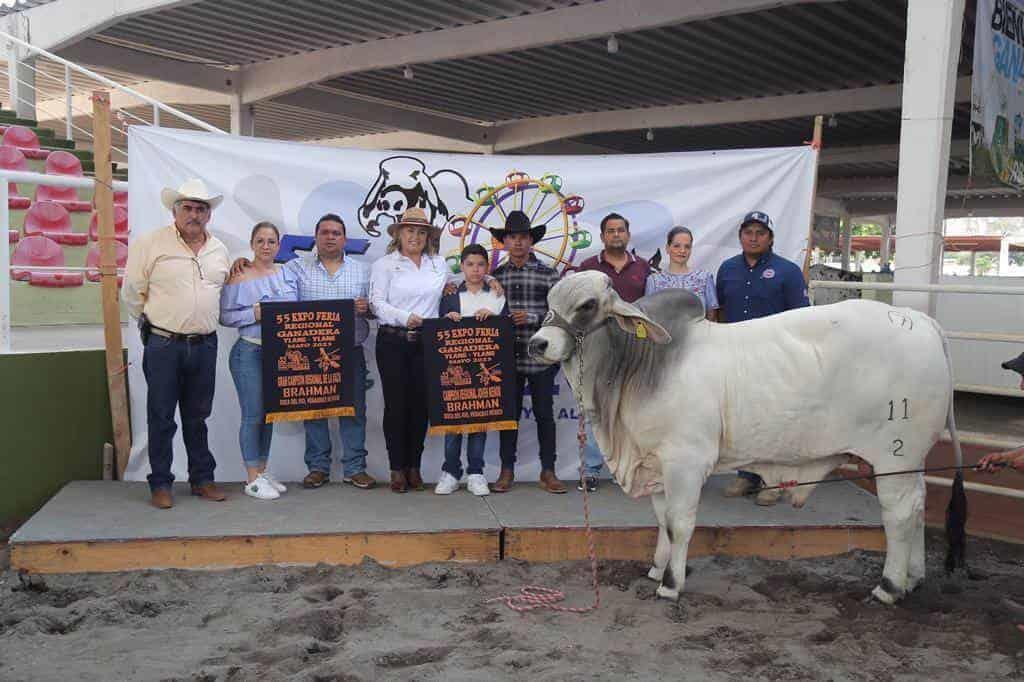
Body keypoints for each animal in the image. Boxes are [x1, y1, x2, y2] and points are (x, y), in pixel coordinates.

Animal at [528, 270, 958, 602]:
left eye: (587, 304)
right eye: (548, 300)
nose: (537, 343)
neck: (643, 362)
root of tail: (918, 320)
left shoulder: (686, 462)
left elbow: (679, 523)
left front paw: (670, 584)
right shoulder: (656, 464)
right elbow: (662, 520)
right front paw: (656, 568)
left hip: (895, 456)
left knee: (899, 514)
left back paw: (889, 586)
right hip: (912, 460)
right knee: (919, 505)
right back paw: (914, 578)